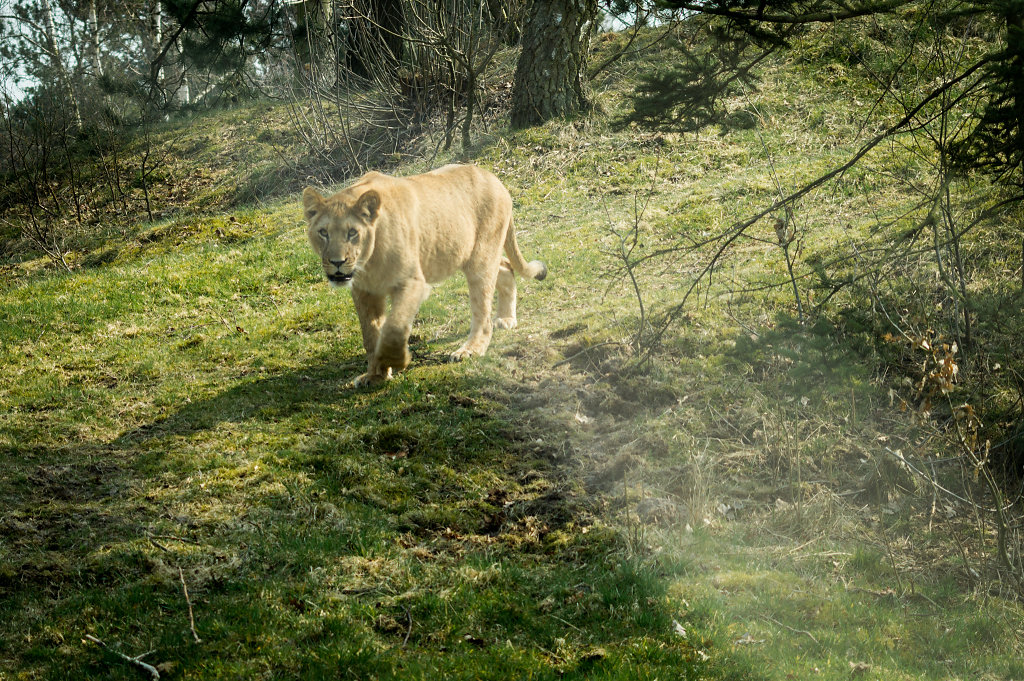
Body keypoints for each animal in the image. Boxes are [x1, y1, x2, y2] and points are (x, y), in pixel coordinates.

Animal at [301, 164, 548, 385]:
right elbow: (370, 334)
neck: (369, 261)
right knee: (505, 268)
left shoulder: (413, 282)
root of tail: (495, 179)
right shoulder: (364, 291)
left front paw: (395, 361)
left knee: (483, 312)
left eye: (352, 233)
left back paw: (470, 349)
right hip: (471, 255)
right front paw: (375, 375)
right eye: (323, 233)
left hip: (482, 257)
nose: (337, 262)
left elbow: (394, 327)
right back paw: (506, 319)